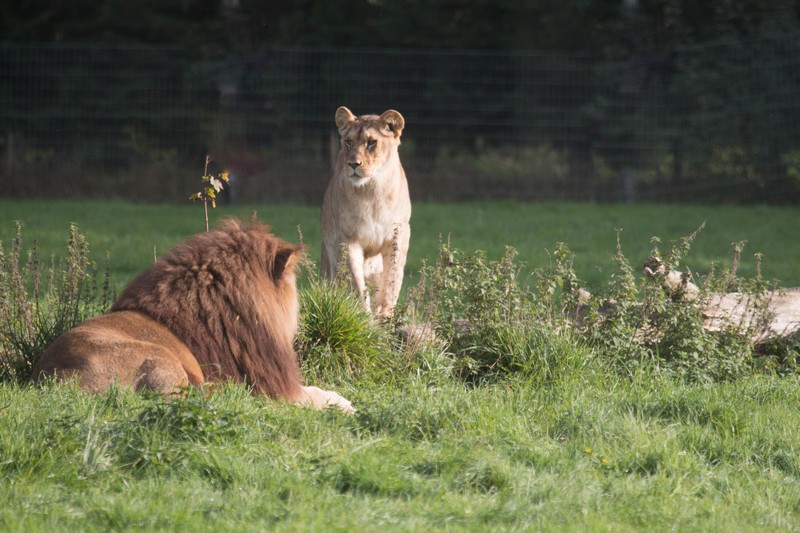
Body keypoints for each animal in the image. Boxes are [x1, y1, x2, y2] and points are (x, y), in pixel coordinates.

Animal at [320, 106, 412, 318]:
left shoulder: (399, 235)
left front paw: (385, 314)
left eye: (371, 142)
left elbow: (392, 279)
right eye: (348, 142)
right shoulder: (346, 240)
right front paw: (364, 316)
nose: (353, 164)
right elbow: (356, 284)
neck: (372, 191)